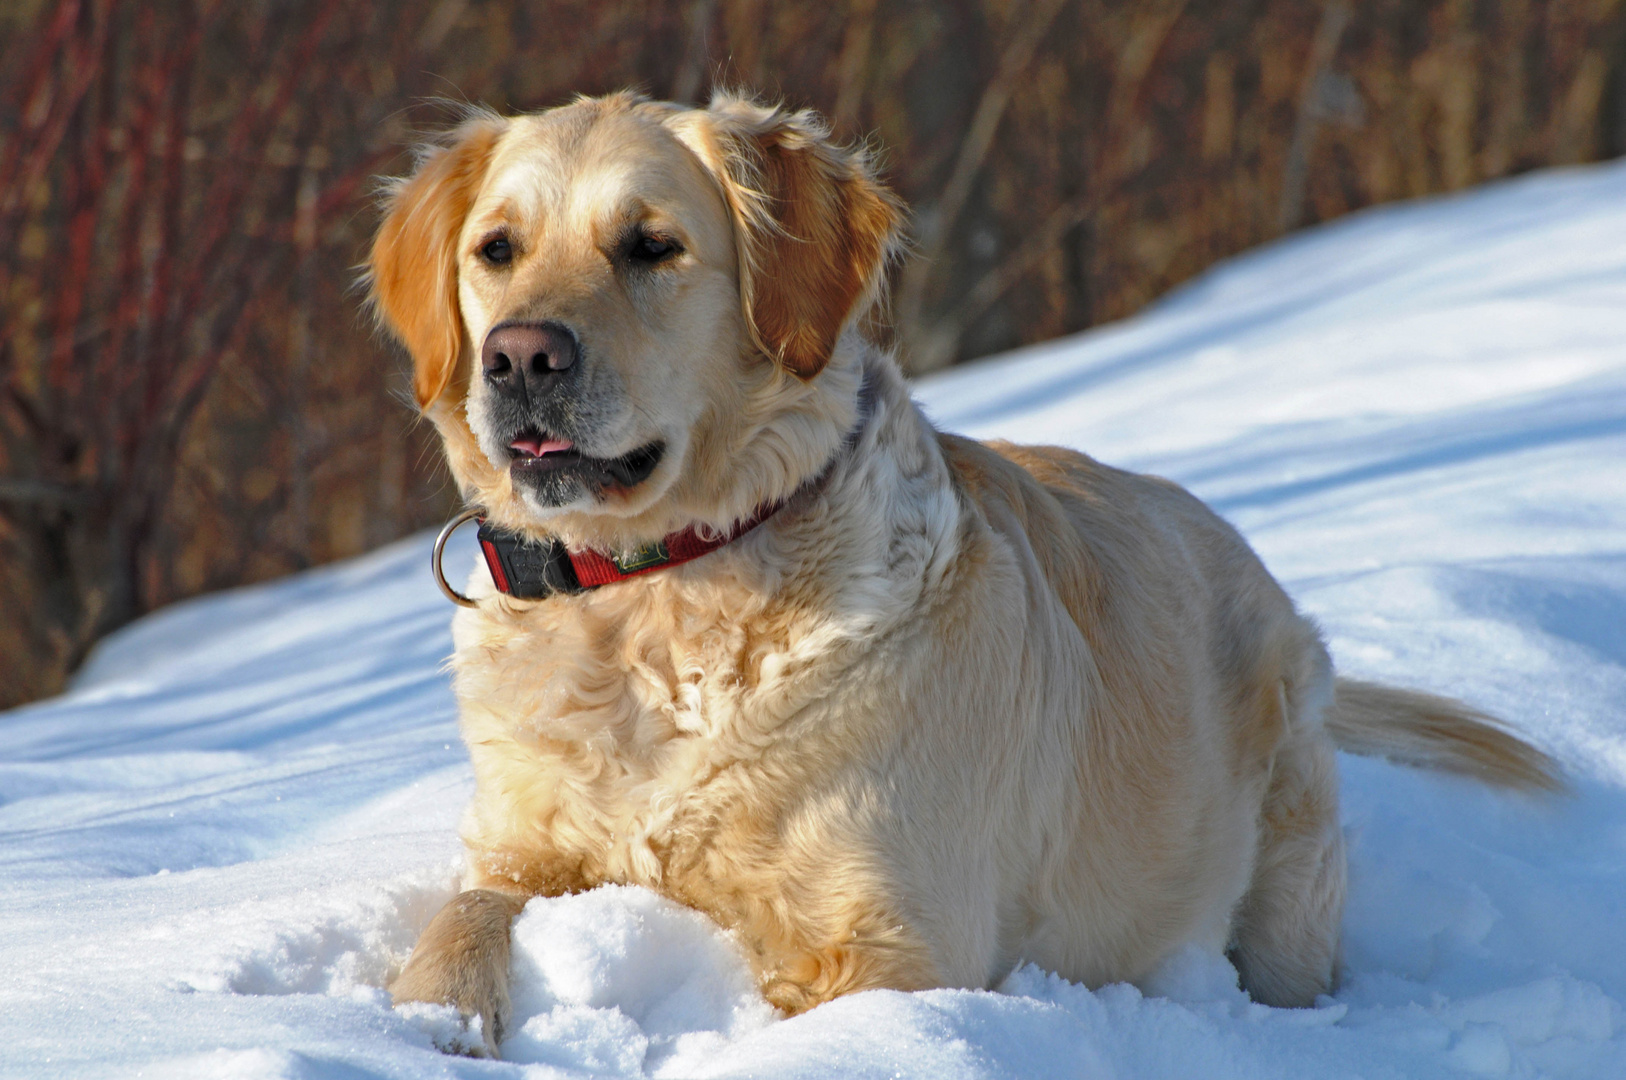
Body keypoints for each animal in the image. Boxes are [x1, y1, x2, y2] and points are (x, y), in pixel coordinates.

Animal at [369, 90, 1560, 1053]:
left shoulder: (894, 942)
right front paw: (436, 1014)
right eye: (497, 250)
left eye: (652, 246)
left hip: (1282, 874)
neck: (659, 593)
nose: (521, 356)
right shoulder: (525, 849)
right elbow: (467, 911)